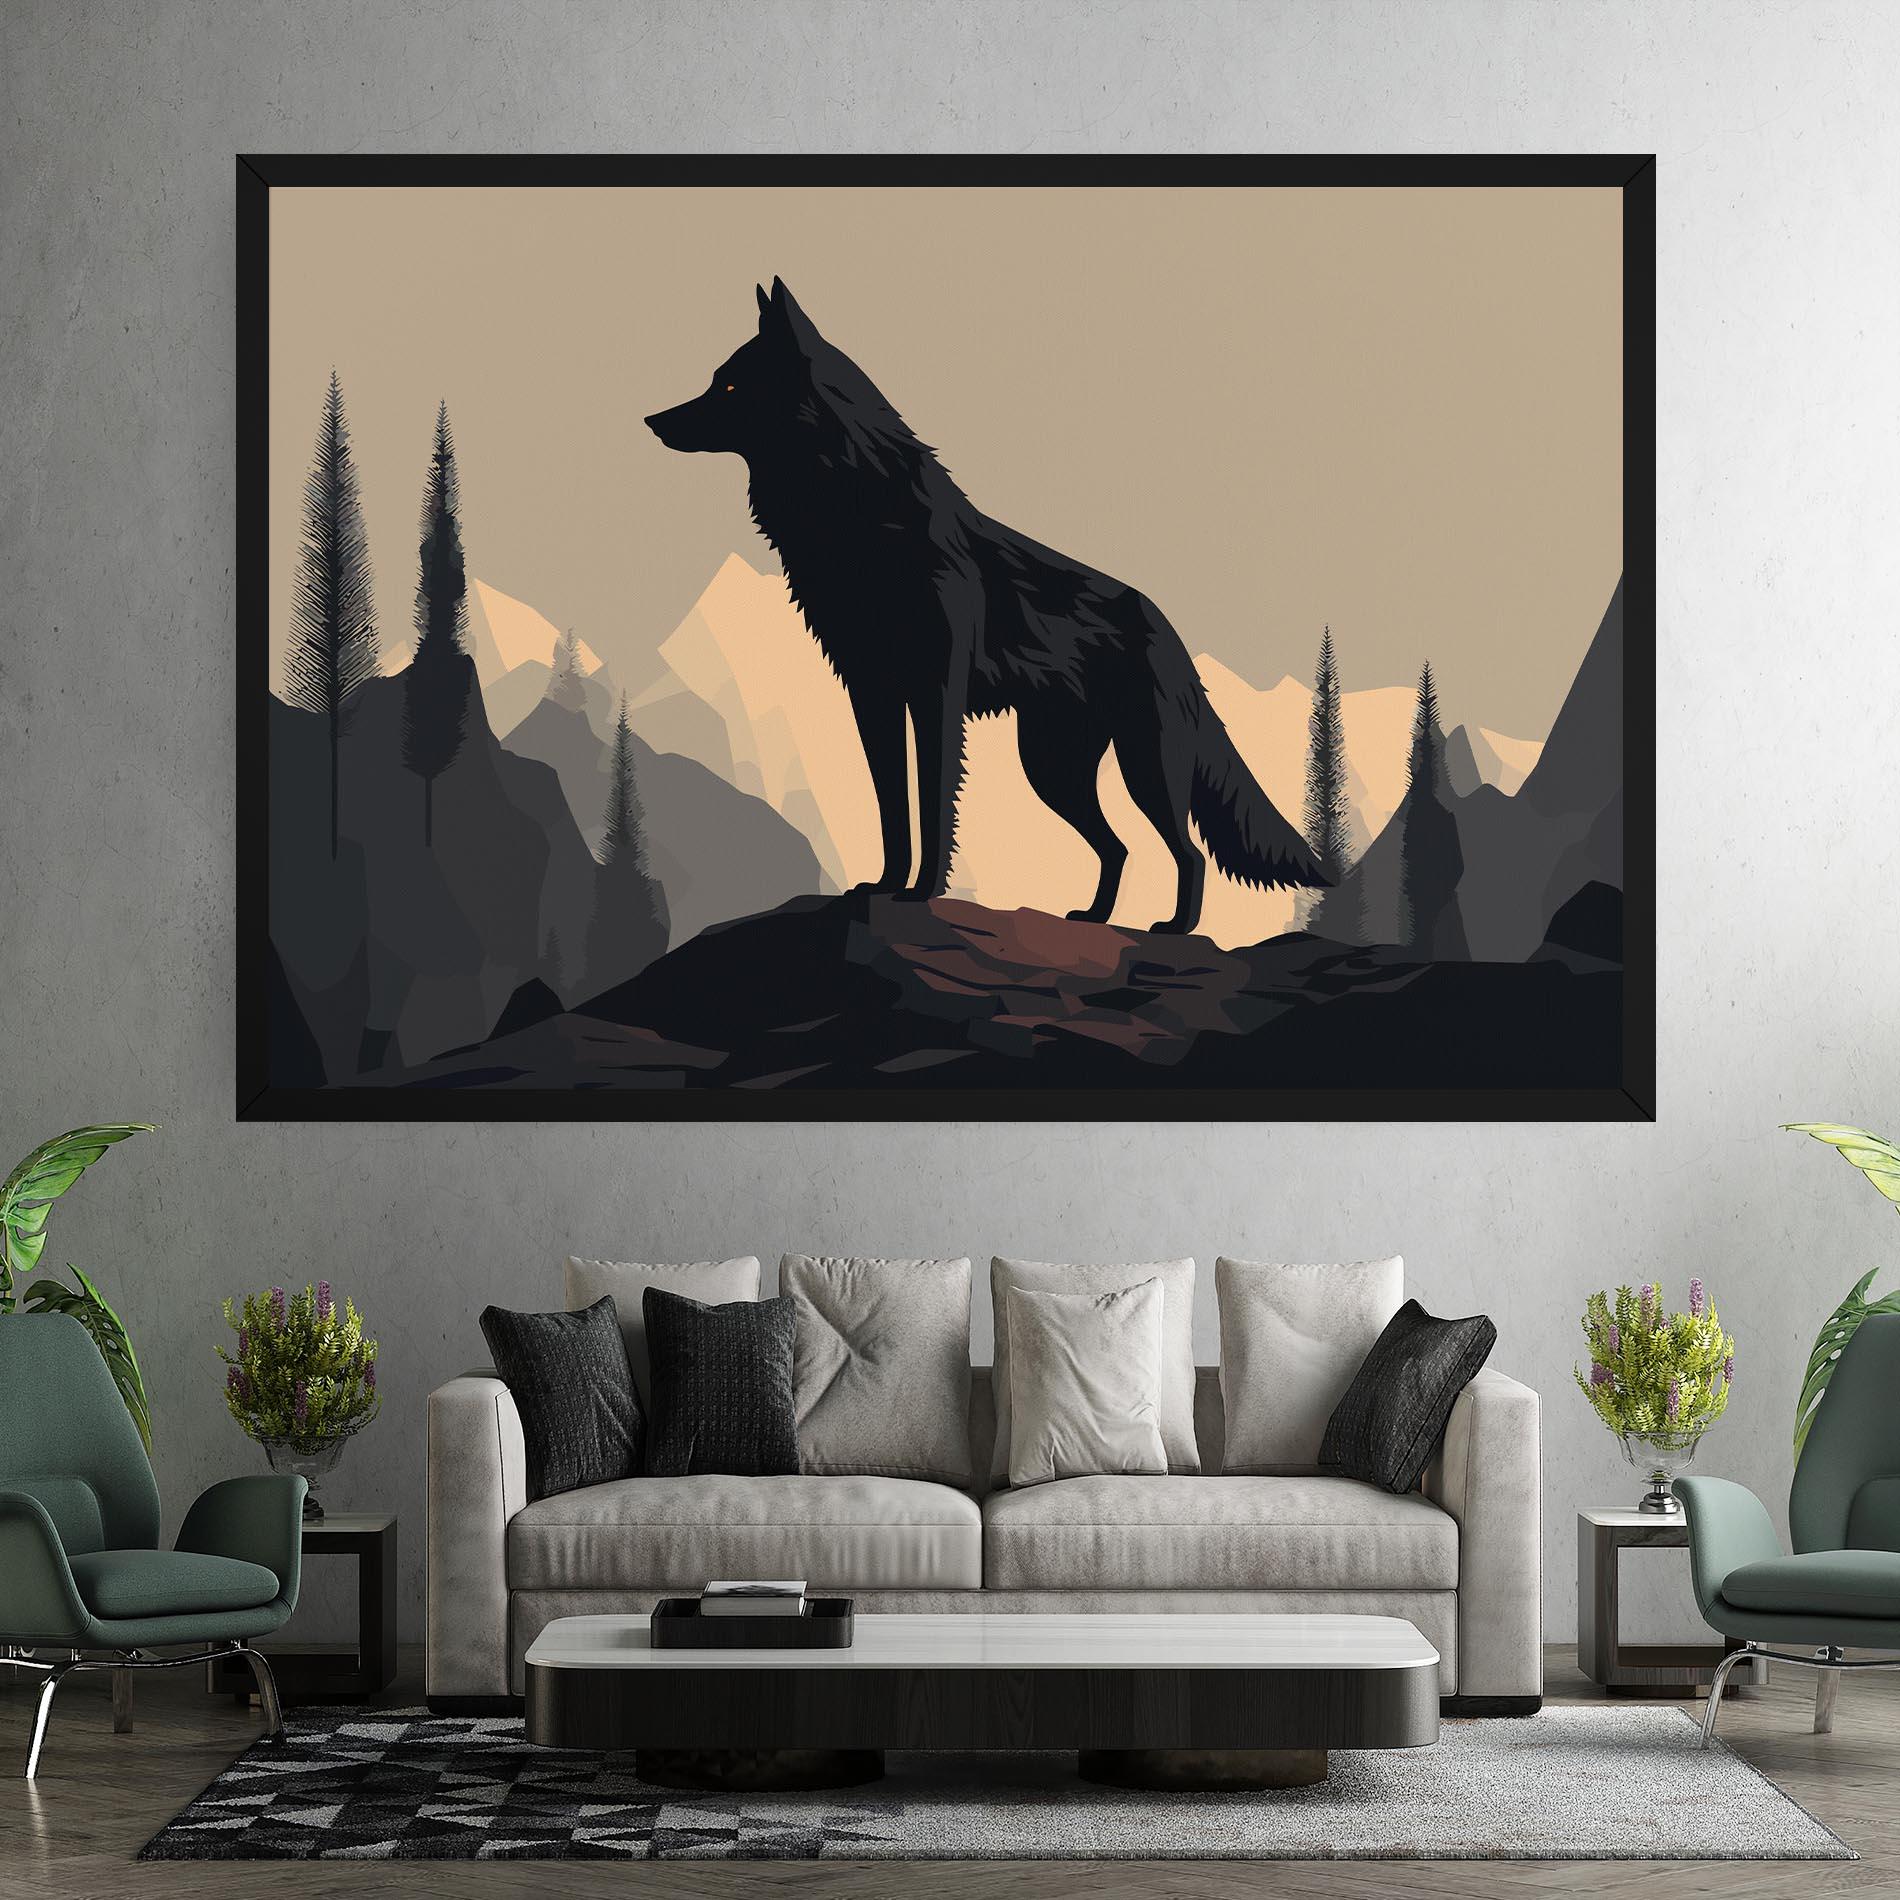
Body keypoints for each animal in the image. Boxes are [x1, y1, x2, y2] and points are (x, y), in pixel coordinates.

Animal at [646, 279, 1324, 934]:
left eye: (730, 385)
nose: (652, 421)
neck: (861, 513)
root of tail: (1169, 629)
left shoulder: (936, 694)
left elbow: (933, 799)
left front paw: (923, 892)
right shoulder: (872, 694)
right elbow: (892, 807)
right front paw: (885, 886)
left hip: (1141, 766)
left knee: (1187, 852)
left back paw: (1175, 927)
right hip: (1053, 769)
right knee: (1119, 847)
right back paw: (1095, 918)